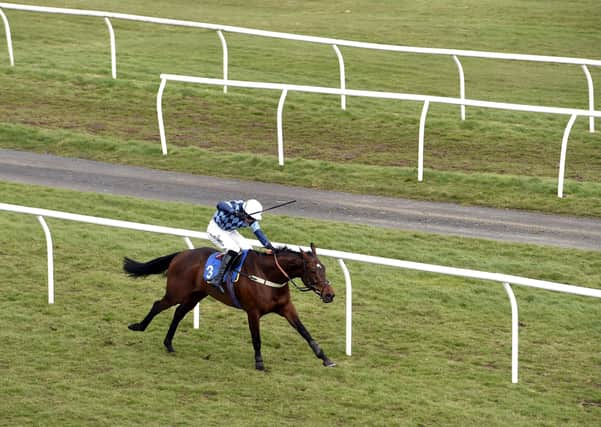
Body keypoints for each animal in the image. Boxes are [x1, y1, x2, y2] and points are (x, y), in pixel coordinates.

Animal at [123, 244, 336, 372]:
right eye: (312, 270)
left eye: (324, 268)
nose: (330, 294)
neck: (268, 275)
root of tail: (182, 254)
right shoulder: (253, 312)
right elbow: (256, 339)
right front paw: (259, 363)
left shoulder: (286, 308)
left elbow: (305, 332)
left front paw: (325, 358)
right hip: (177, 293)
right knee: (158, 305)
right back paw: (138, 327)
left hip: (195, 295)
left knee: (179, 313)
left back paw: (168, 344)